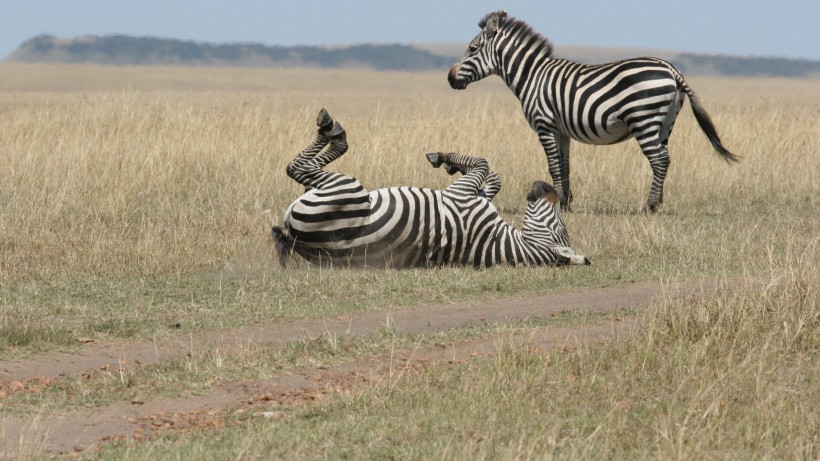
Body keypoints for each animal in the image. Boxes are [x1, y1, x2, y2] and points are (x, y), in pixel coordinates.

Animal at [274, 108, 588, 270]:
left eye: (559, 226)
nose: (544, 185)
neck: (502, 243)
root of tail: (298, 240)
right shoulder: (475, 197)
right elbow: (493, 177)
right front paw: (452, 164)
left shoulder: (462, 197)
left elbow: (483, 164)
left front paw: (443, 157)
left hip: (346, 190)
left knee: (297, 168)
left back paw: (332, 129)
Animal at [446, 10, 740, 211]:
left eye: (472, 48)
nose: (449, 78)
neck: (532, 76)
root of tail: (672, 70)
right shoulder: (562, 131)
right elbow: (564, 166)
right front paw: (565, 202)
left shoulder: (545, 125)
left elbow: (553, 166)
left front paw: (557, 203)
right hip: (666, 123)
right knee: (665, 159)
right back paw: (659, 202)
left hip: (643, 120)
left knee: (659, 160)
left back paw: (649, 206)